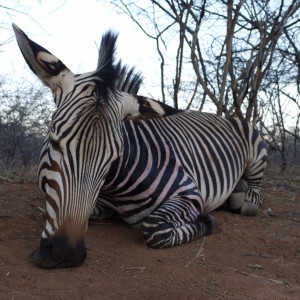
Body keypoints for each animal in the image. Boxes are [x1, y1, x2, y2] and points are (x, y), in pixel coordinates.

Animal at [13, 24, 268, 270]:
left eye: (114, 156)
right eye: (54, 142)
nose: (65, 254)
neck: (114, 187)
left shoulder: (189, 193)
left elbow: (154, 229)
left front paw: (207, 220)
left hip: (256, 156)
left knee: (253, 199)